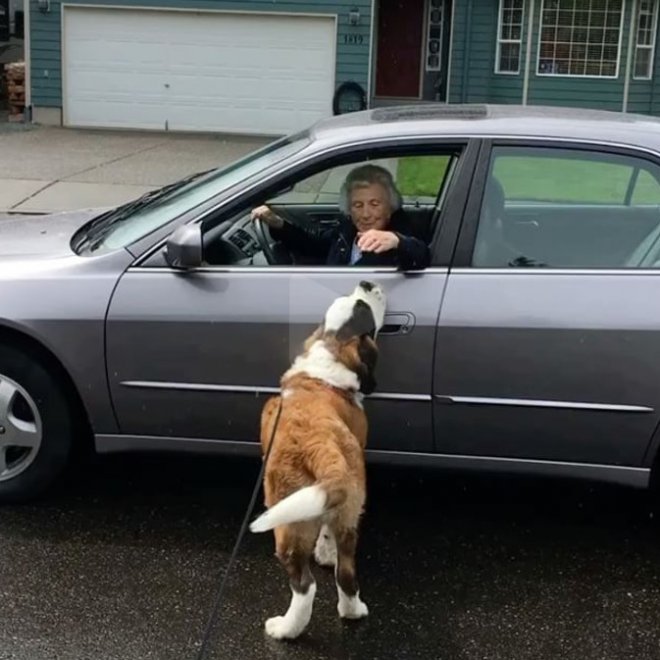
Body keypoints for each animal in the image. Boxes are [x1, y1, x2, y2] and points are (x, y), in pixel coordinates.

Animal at [249, 280, 387, 640]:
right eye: (362, 308)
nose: (366, 283)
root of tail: (317, 445)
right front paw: (326, 552)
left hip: (291, 521)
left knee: (311, 584)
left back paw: (291, 627)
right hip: (342, 512)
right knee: (336, 577)